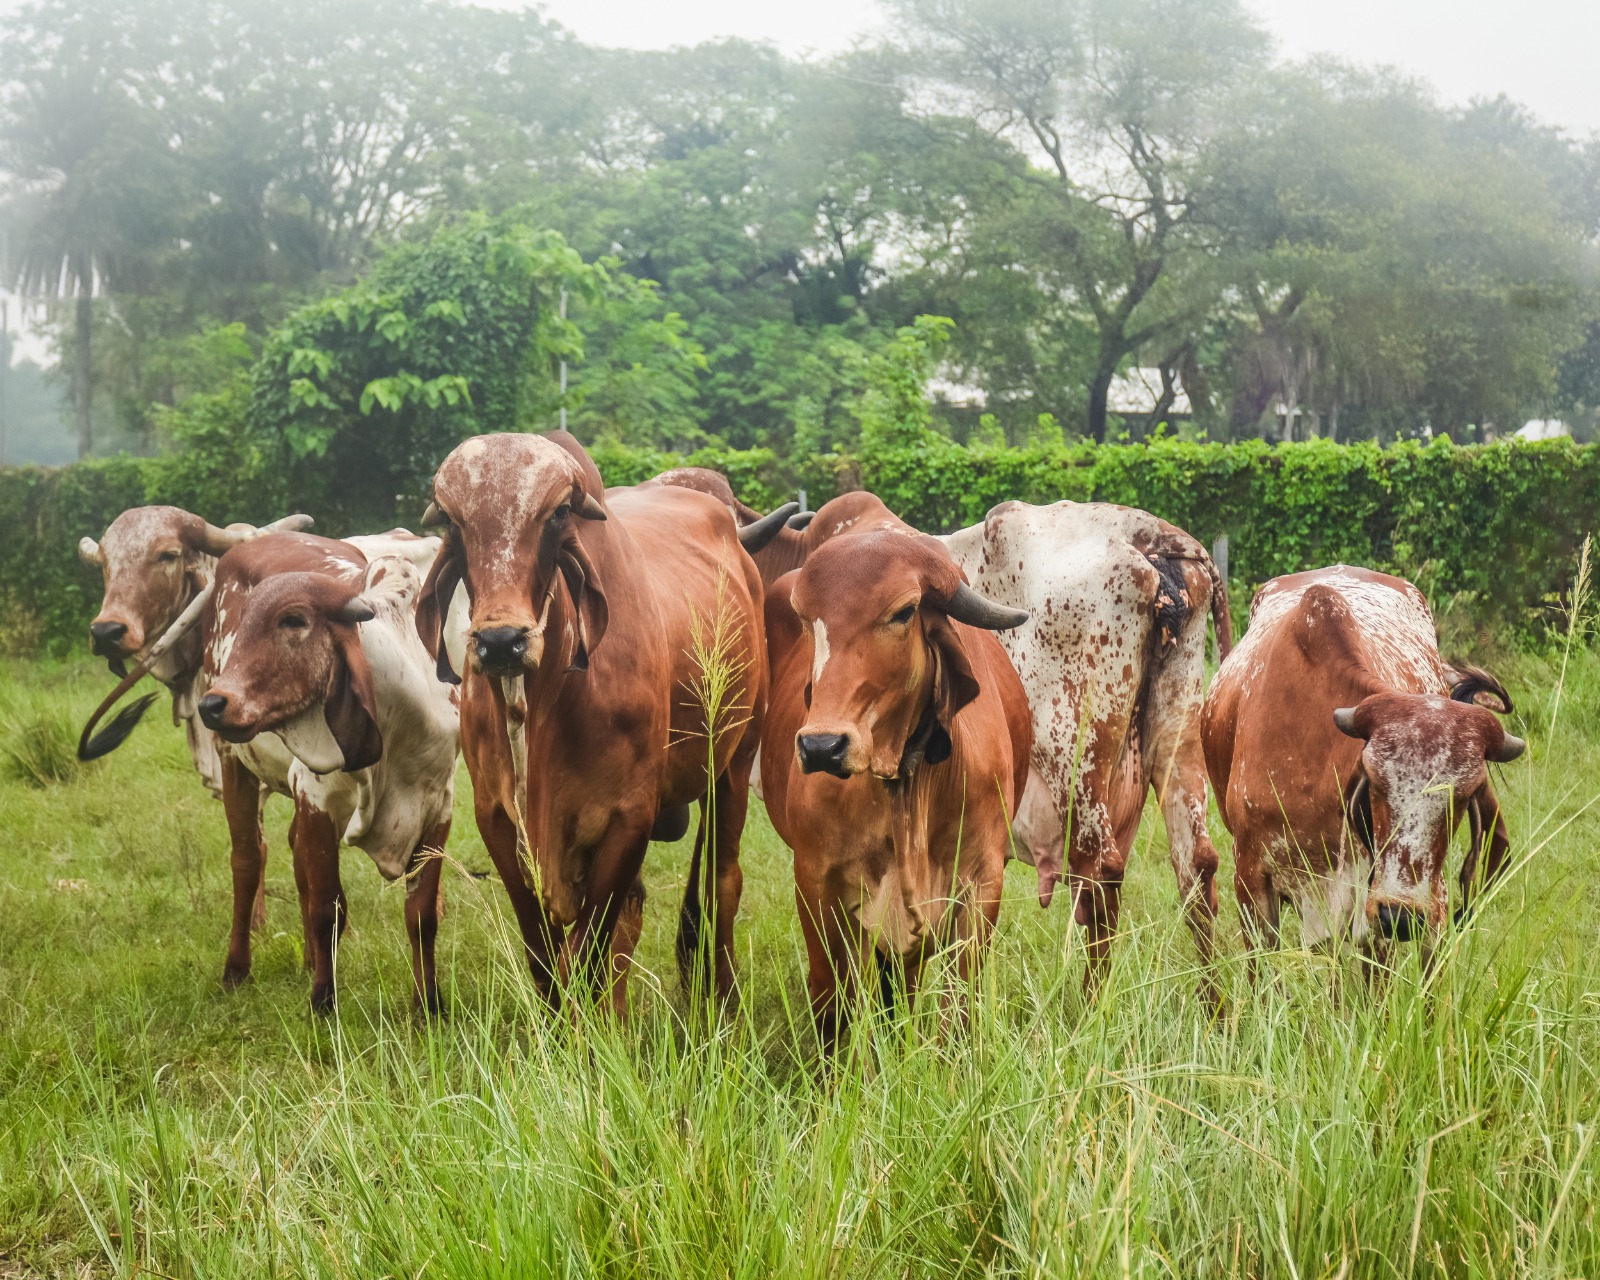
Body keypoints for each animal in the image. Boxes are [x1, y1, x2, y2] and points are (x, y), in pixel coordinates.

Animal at [191, 534, 460, 1011]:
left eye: (293, 620)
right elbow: (328, 909)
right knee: (247, 861)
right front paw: (322, 1001)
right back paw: (237, 969)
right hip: (234, 761)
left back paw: (307, 961)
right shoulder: (315, 796)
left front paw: (428, 1005)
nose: (213, 705)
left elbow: (422, 915)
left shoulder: (437, 807)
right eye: (243, 624)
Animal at [415, 431, 779, 1012]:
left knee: (723, 880)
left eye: (559, 513)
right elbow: (545, 956)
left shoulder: (629, 817)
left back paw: (721, 996)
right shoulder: (495, 817)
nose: (501, 642)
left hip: (735, 762)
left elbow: (584, 957)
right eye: (451, 520)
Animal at [763, 518, 1032, 1050]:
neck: (903, 783)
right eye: (806, 620)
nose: (821, 746)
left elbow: (959, 1003)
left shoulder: (983, 878)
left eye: (903, 612)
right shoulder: (815, 879)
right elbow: (833, 1000)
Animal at [940, 501, 1232, 994]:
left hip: (1076, 763)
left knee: (1100, 876)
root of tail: (1149, 532)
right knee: (1196, 866)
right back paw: (1215, 1004)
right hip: (1178, 729)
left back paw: (1089, 1004)